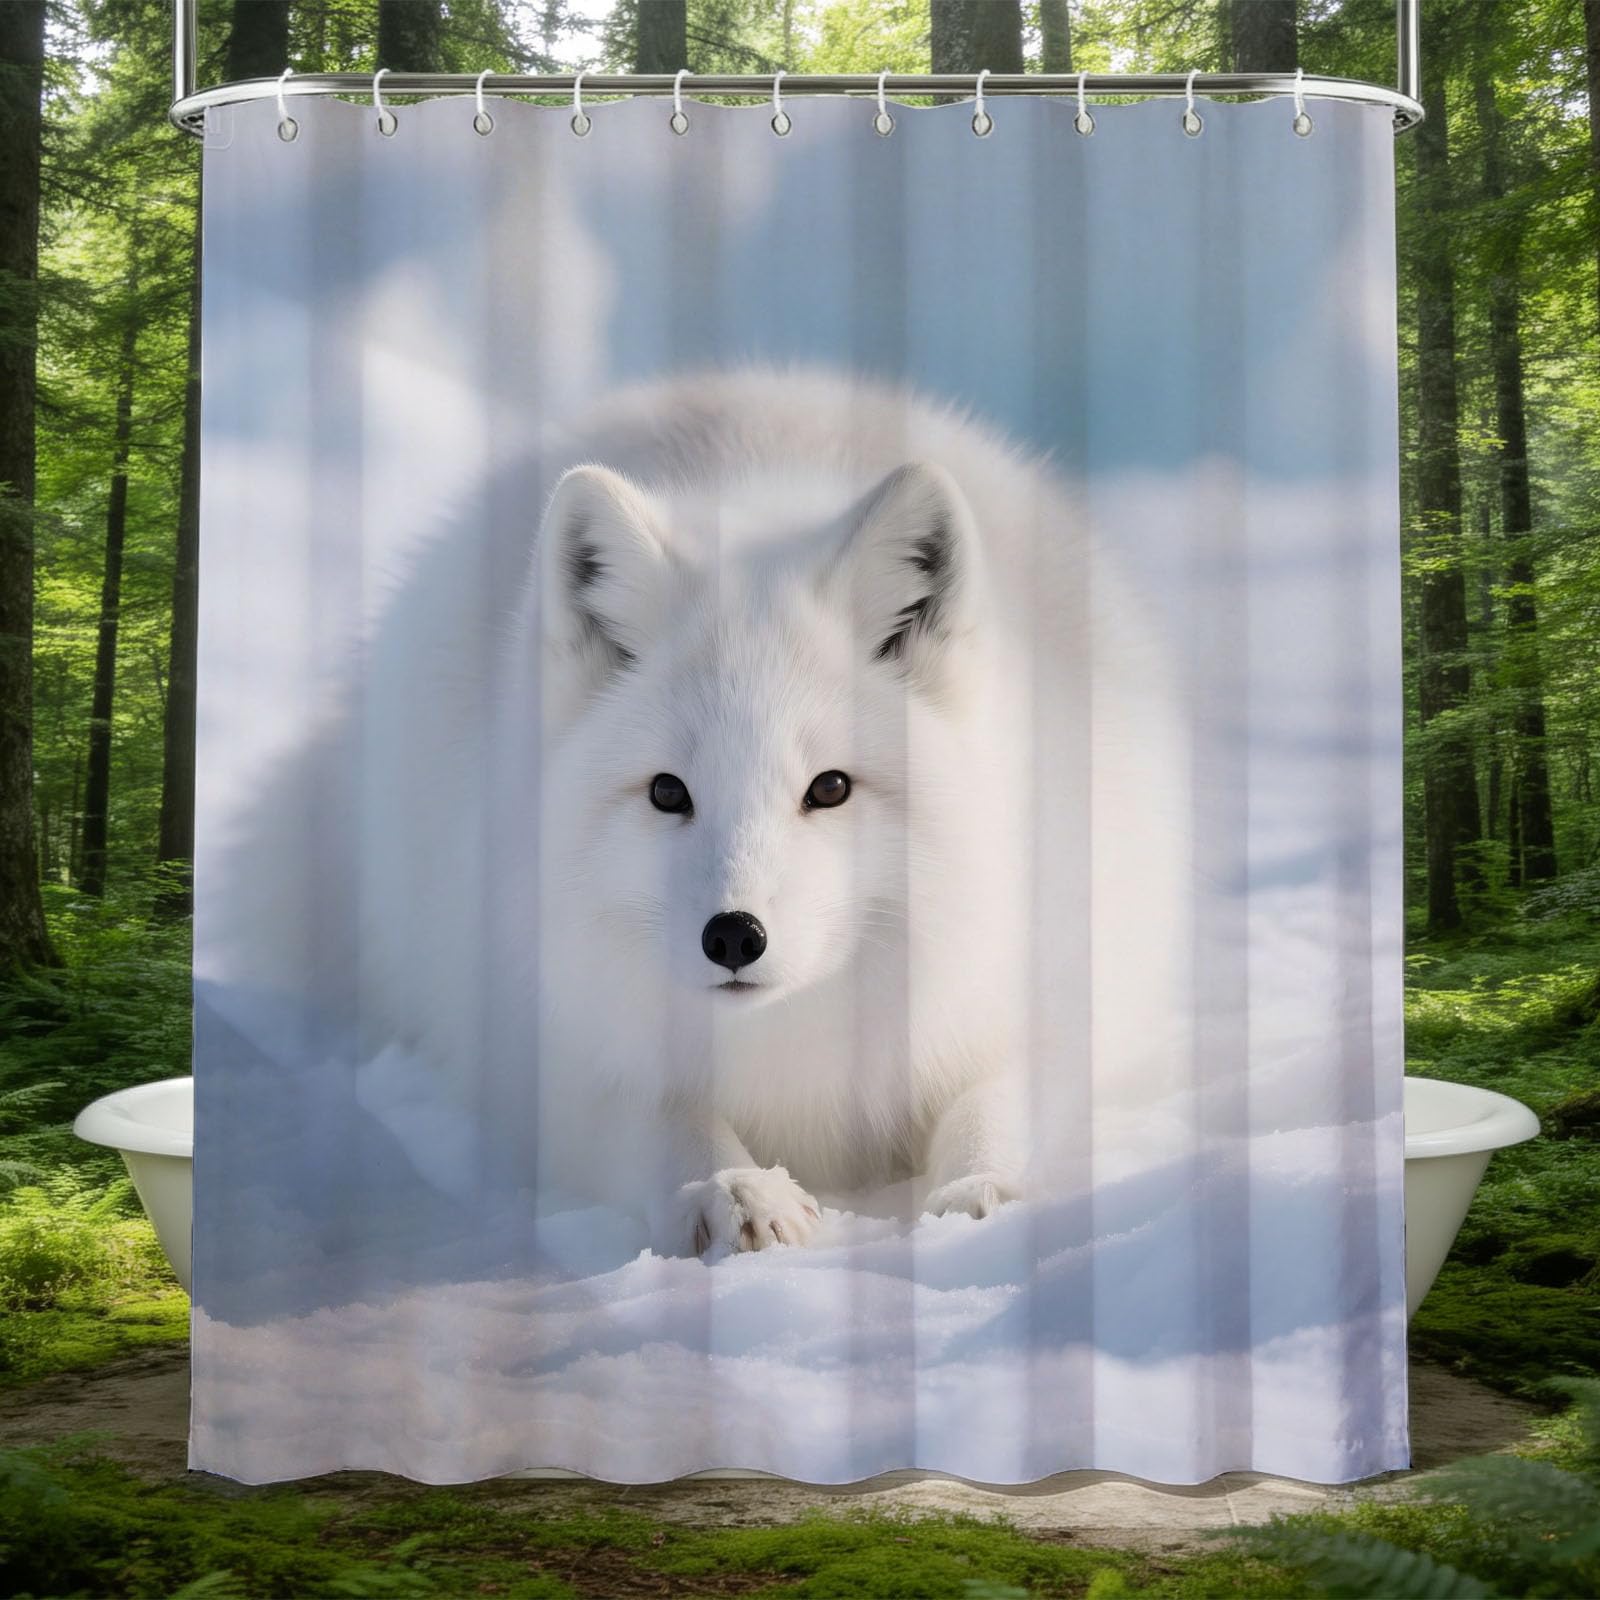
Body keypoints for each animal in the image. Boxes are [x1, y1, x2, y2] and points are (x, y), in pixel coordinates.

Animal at [214, 367, 1187, 1259]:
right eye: (667, 792)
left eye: (829, 788)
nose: (733, 937)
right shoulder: (547, 1046)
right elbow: (661, 1120)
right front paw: (731, 1190)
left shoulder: (1051, 992)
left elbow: (993, 1099)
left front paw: (983, 1192)